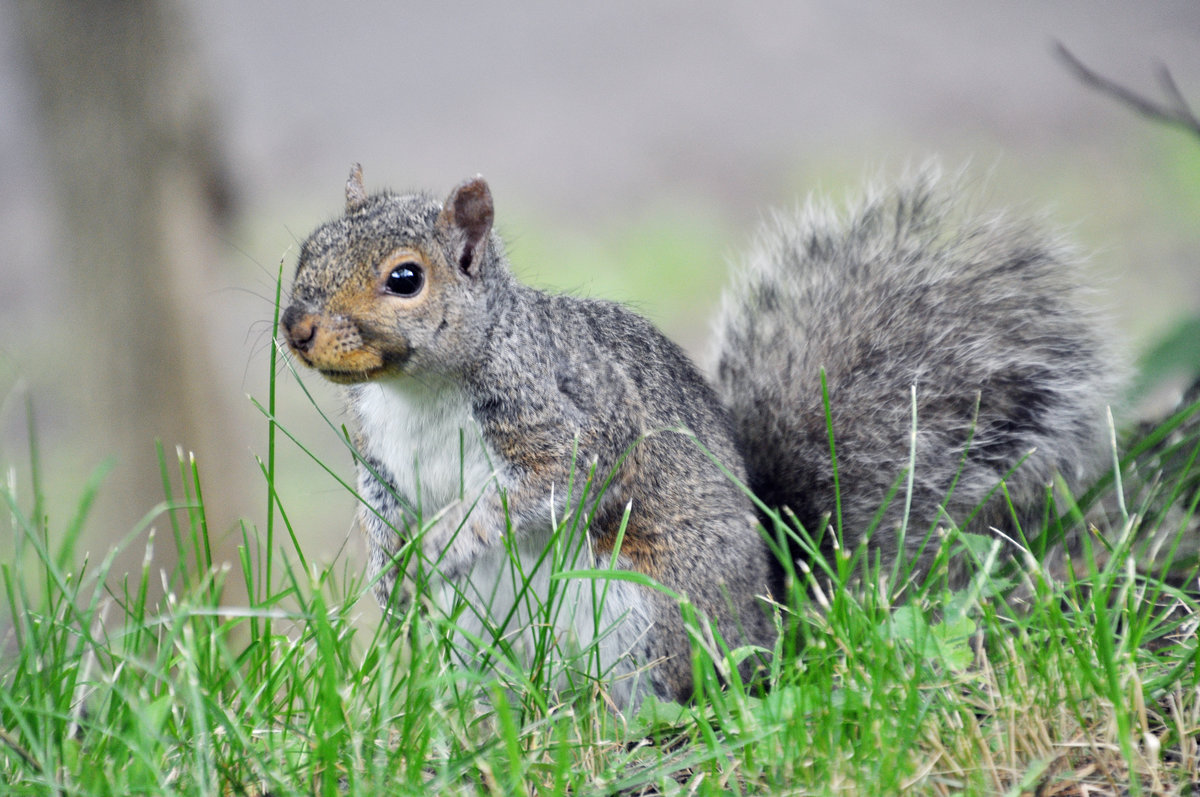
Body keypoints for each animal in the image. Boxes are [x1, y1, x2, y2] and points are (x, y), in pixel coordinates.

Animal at [280, 163, 1123, 710]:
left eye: (405, 279)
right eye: (308, 248)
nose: (296, 329)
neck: (415, 390)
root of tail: (772, 618)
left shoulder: (573, 420)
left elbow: (542, 488)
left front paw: (449, 537)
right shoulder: (380, 460)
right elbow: (382, 512)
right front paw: (387, 574)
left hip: (641, 611)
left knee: (664, 695)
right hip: (477, 636)